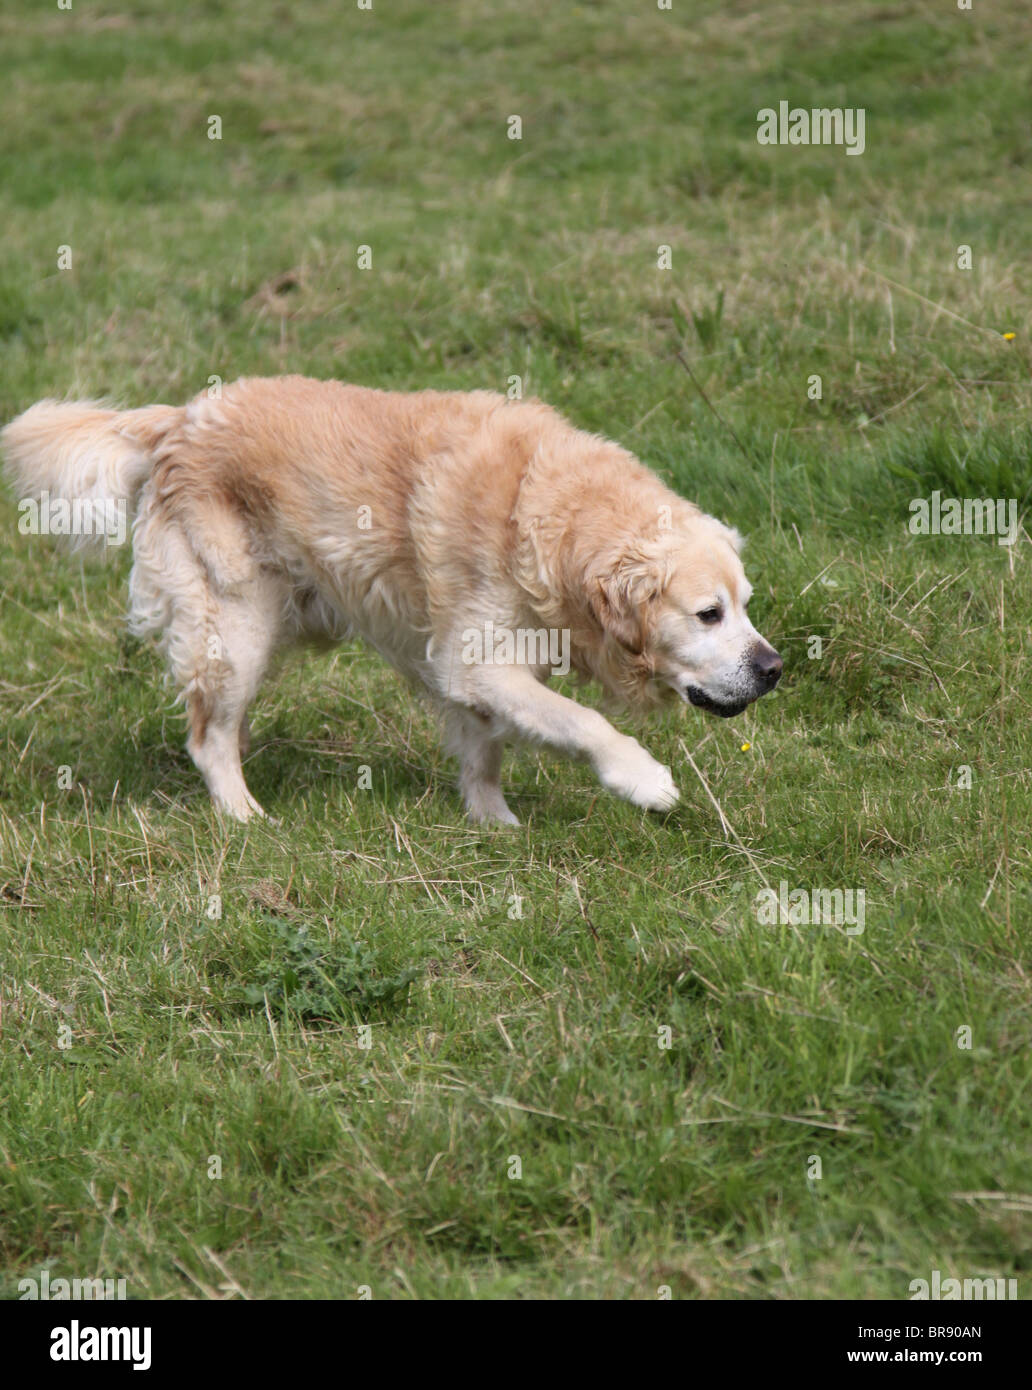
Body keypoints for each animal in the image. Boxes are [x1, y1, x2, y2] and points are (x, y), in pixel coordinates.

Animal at [4, 378, 784, 822]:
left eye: (747, 603)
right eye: (708, 613)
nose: (776, 668)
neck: (551, 515)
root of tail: (177, 419)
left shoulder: (469, 674)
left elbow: (485, 751)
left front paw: (493, 824)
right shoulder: (480, 662)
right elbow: (585, 722)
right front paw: (643, 780)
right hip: (237, 625)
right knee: (207, 737)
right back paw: (245, 817)